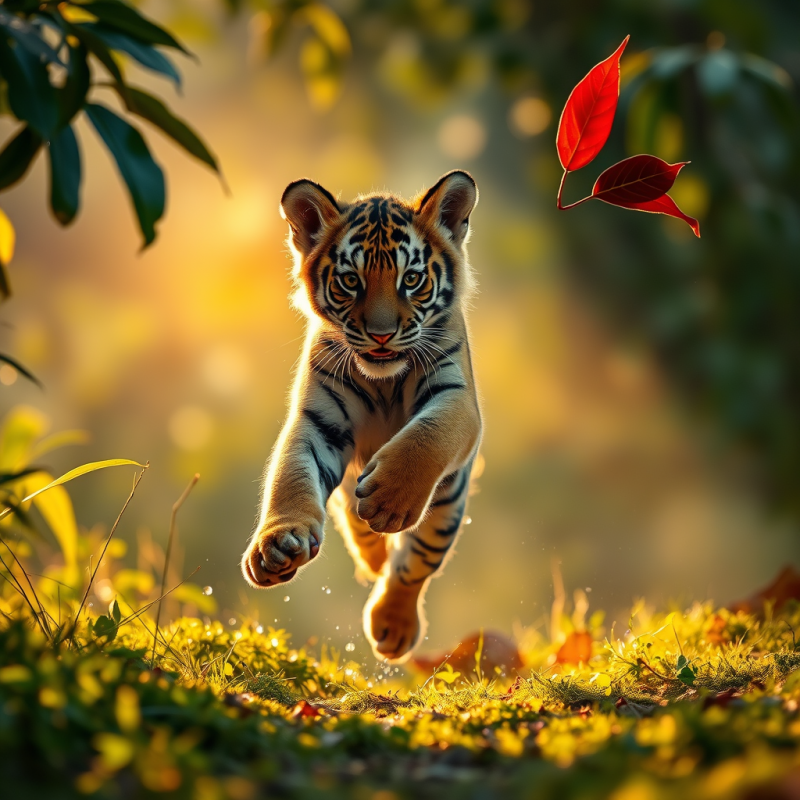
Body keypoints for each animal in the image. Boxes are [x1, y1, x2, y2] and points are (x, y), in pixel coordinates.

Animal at [241, 170, 482, 662]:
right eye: (350, 281)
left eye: (412, 279)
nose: (382, 335)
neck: (382, 380)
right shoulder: (316, 420)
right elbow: (291, 475)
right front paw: (277, 545)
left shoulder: (457, 399)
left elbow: (429, 435)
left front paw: (389, 501)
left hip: (448, 502)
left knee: (416, 562)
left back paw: (393, 624)